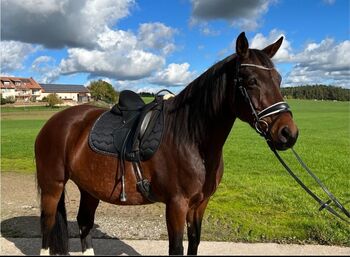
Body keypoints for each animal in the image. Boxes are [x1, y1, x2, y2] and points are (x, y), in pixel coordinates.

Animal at [35, 32, 298, 254]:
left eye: (278, 79)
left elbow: (194, 243)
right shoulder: (176, 205)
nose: (288, 133)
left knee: (84, 223)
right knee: (47, 226)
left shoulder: (199, 205)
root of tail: (55, 122)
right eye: (251, 80)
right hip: (52, 186)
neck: (191, 139)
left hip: (89, 187)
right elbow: (176, 248)